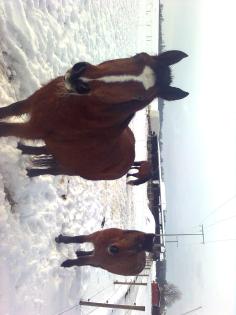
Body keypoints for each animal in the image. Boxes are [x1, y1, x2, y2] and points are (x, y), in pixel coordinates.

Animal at [0, 49, 188, 179]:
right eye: (137, 56)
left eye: (139, 97)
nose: (79, 79)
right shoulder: (31, 103)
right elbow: (9, 110)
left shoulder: (34, 129)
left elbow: (4, 128)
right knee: (46, 149)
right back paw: (22, 149)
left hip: (70, 169)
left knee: (53, 170)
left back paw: (30, 173)